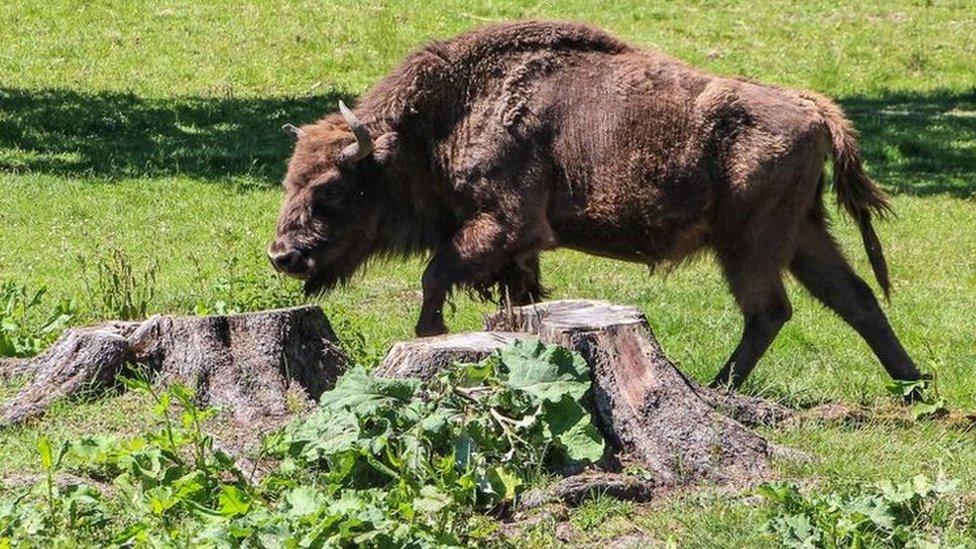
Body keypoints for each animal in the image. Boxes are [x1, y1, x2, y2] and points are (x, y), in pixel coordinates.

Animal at [266, 21, 924, 390]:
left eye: (331, 187)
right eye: (290, 179)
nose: (283, 256)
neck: (436, 124)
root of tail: (814, 107)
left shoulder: (503, 226)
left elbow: (435, 277)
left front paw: (432, 336)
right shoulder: (514, 250)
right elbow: (514, 297)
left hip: (750, 243)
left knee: (770, 311)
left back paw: (720, 388)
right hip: (803, 234)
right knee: (854, 299)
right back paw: (913, 385)